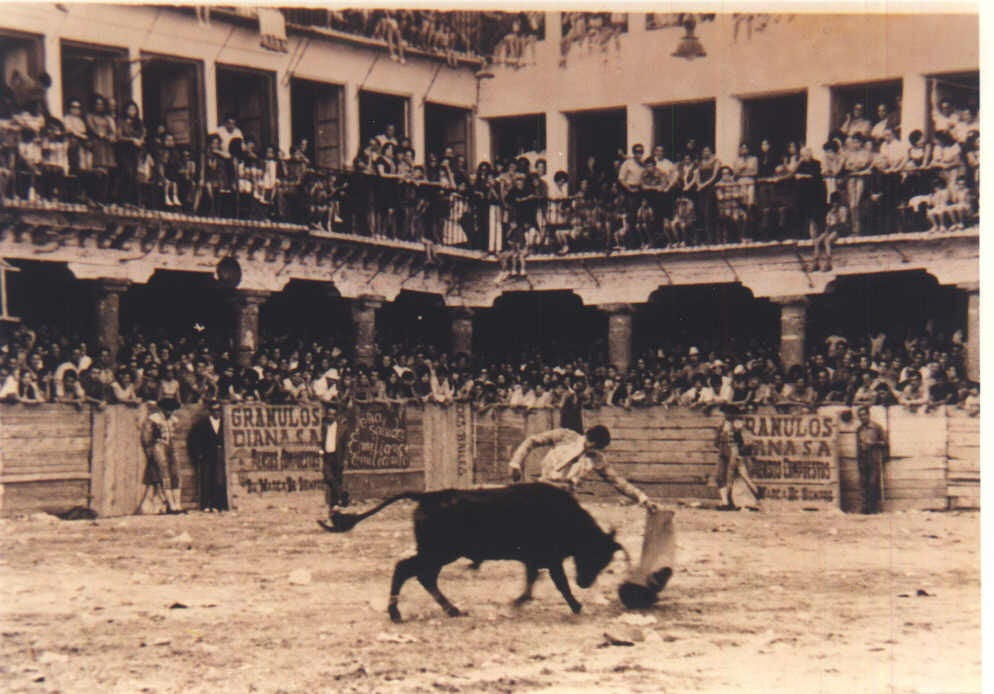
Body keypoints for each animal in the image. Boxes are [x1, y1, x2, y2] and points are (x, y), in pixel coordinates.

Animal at [320, 484, 628, 624]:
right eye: (594, 554)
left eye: (604, 560)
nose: (585, 583)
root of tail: (427, 495)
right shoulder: (550, 560)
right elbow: (559, 583)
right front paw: (577, 606)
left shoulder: (534, 559)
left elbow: (531, 582)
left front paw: (517, 602)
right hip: (438, 552)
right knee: (406, 569)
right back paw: (396, 613)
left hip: (438, 554)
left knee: (423, 576)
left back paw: (451, 609)